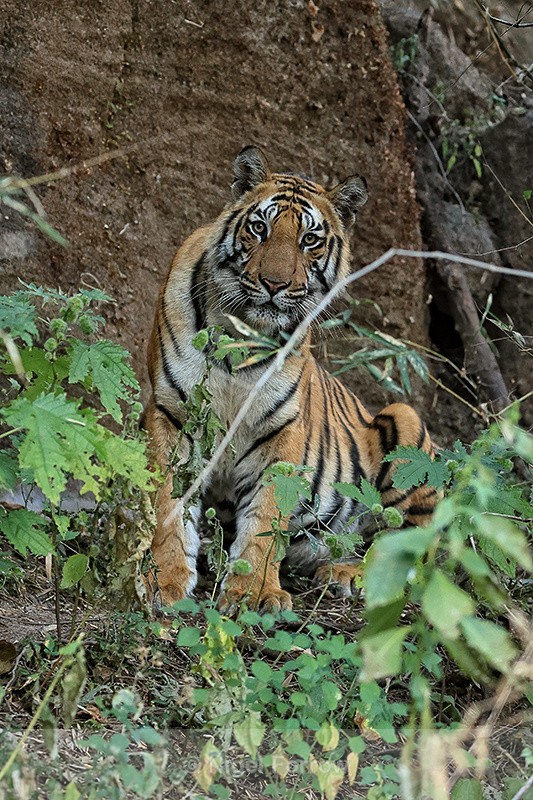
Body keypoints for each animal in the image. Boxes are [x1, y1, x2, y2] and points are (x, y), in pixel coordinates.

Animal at [144, 145, 437, 613]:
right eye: (259, 228)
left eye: (309, 240)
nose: (273, 283)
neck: (241, 337)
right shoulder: (173, 414)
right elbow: (167, 503)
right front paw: (164, 581)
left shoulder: (281, 431)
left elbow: (265, 515)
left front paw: (253, 593)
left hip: (405, 420)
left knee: (415, 550)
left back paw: (351, 574)